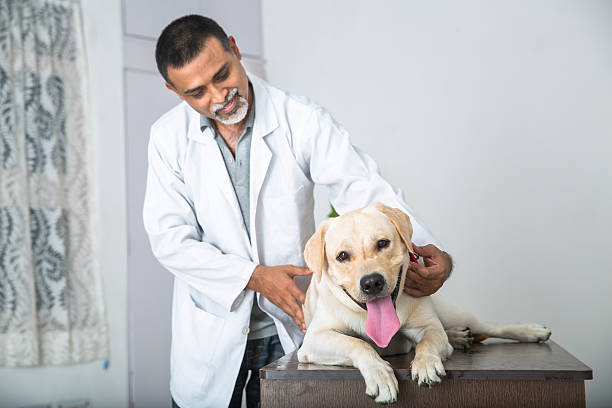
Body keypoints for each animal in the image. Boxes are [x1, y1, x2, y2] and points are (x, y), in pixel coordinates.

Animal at [298, 202, 552, 404]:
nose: (372, 282)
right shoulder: (313, 341)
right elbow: (358, 344)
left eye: (382, 243)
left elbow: (427, 343)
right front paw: (379, 374)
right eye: (342, 256)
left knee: (489, 325)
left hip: (452, 313)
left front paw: (426, 364)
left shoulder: (428, 326)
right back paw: (459, 336)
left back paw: (532, 331)